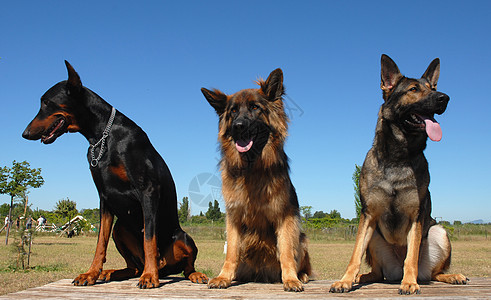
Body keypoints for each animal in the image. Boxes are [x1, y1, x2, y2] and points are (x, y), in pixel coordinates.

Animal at [22, 61, 208, 288]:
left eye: (47, 102)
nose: (25, 134)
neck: (102, 136)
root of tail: (164, 267)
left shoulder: (148, 191)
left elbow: (149, 239)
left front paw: (149, 276)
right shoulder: (104, 198)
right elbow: (100, 242)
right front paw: (91, 274)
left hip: (183, 238)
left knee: (185, 266)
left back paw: (186, 274)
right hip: (120, 229)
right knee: (133, 266)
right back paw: (110, 273)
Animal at [202, 69, 314, 292]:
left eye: (255, 108)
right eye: (233, 111)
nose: (238, 126)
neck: (252, 168)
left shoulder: (285, 216)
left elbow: (286, 251)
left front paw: (290, 279)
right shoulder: (234, 217)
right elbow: (231, 251)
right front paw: (224, 277)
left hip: (303, 239)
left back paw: (302, 275)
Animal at [330, 55, 468, 294]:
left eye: (432, 88)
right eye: (413, 89)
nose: (444, 98)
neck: (397, 157)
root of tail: (392, 274)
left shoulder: (416, 217)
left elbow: (410, 257)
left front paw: (409, 282)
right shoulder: (368, 216)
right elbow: (355, 255)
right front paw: (345, 280)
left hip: (439, 232)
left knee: (434, 273)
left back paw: (450, 276)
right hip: (375, 237)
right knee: (377, 273)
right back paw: (362, 277)